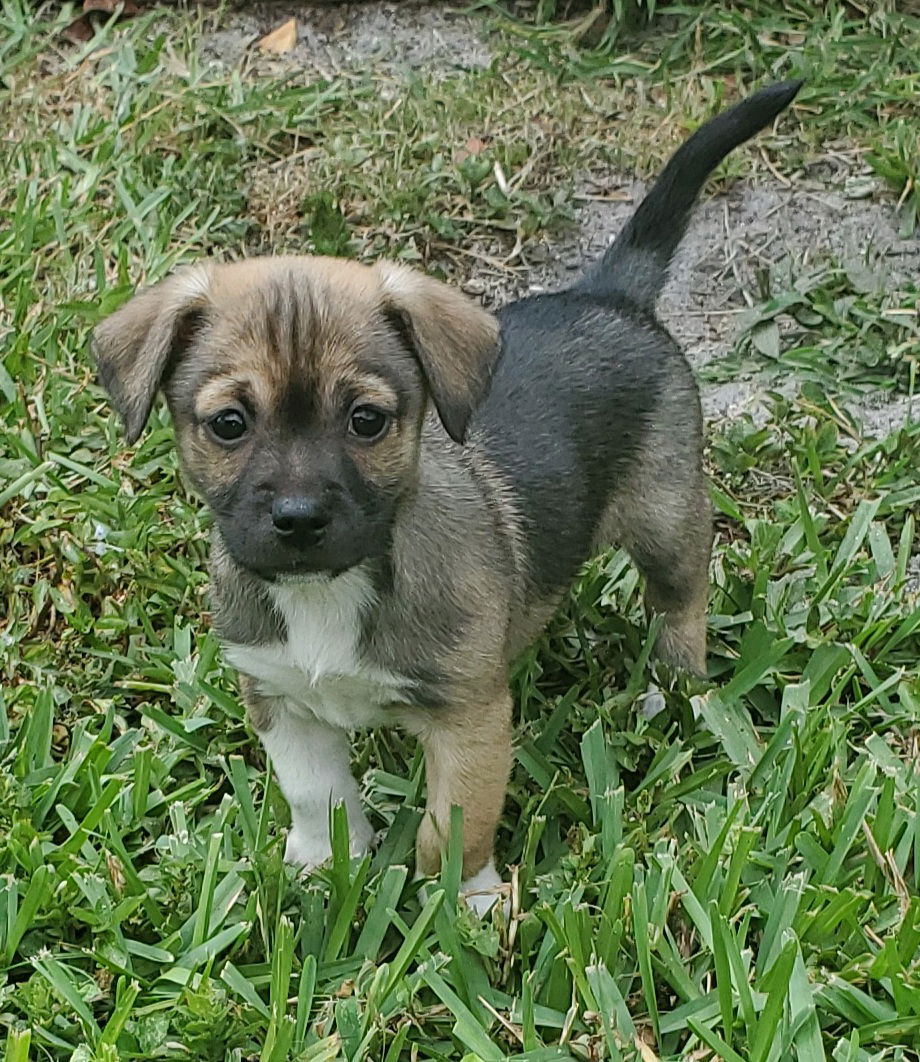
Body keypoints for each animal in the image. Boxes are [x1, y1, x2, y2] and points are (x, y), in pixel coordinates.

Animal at [91, 80, 794, 913]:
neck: (333, 591)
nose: (298, 520)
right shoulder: (283, 701)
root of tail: (609, 293)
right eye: (229, 424)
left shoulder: (469, 721)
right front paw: (322, 863)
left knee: (681, 602)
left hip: (666, 515)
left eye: (366, 420)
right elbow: (316, 797)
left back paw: (670, 690)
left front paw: (467, 903)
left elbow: (451, 825)